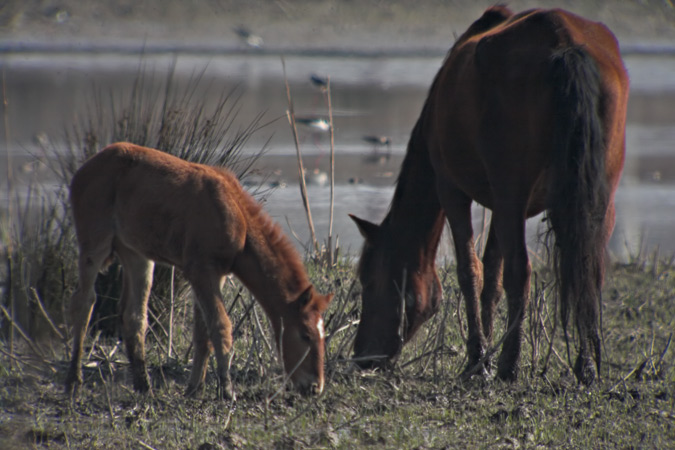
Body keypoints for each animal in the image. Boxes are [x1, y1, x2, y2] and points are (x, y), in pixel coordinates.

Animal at [64, 142, 334, 398]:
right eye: (305, 335)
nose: (315, 387)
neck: (237, 217)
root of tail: (83, 170)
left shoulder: (216, 275)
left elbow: (202, 332)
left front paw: (194, 388)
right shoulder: (201, 270)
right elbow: (221, 326)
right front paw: (226, 390)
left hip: (136, 254)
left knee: (134, 315)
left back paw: (144, 386)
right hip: (94, 242)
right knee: (84, 302)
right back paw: (74, 381)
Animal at [352, 5, 632, 384]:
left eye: (368, 281)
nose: (362, 357)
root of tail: (564, 43)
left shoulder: (454, 190)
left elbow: (471, 272)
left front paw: (478, 359)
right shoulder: (502, 206)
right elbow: (492, 279)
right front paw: (484, 350)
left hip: (512, 191)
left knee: (521, 271)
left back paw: (509, 365)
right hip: (597, 198)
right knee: (588, 268)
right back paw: (586, 365)